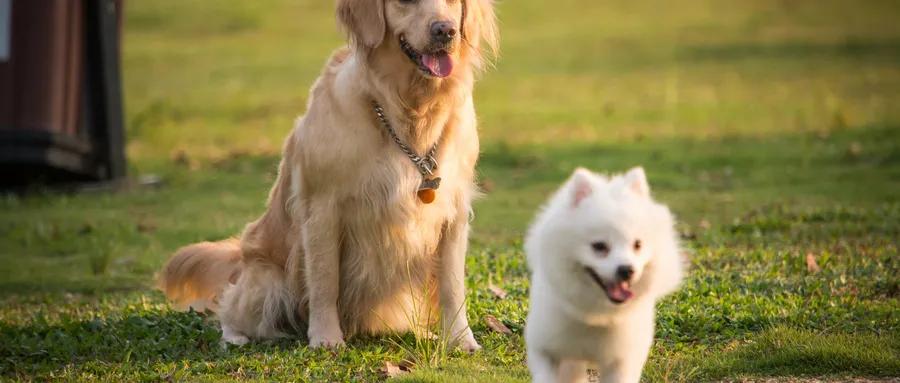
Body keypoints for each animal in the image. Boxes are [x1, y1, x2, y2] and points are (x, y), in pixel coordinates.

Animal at [524, 168, 684, 383]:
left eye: (637, 245)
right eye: (599, 246)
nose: (627, 270)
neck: (597, 315)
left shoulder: (622, 361)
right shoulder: (545, 348)